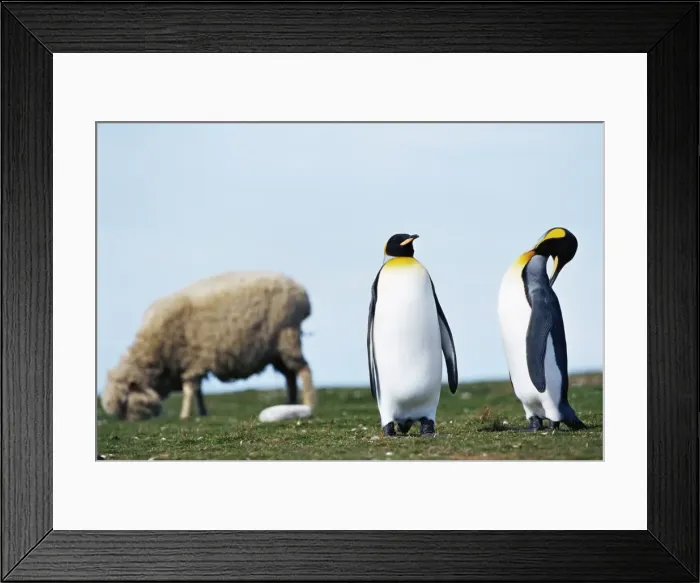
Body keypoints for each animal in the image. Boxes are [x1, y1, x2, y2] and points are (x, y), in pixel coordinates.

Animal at [100, 271, 316, 421]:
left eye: (125, 401)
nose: (132, 422)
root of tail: (301, 292)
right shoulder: (193, 364)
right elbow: (198, 391)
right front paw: (201, 412)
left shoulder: (192, 360)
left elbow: (190, 389)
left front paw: (185, 415)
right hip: (275, 350)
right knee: (290, 376)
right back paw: (290, 403)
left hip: (287, 337)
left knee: (304, 371)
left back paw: (309, 403)